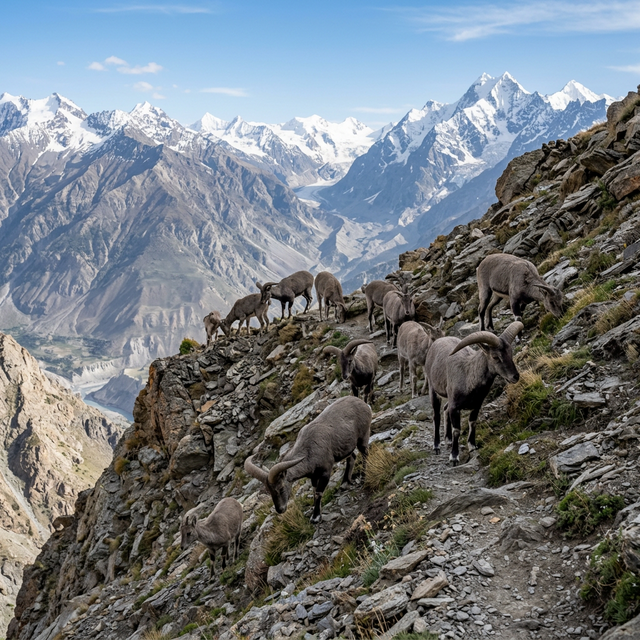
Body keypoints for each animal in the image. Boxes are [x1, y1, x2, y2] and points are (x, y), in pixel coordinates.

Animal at [424, 321, 523, 466]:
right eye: (495, 357)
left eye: (510, 352)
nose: (515, 376)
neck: (469, 374)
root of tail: (437, 342)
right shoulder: (455, 406)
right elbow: (457, 430)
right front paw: (454, 457)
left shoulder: (476, 404)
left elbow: (472, 422)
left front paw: (472, 446)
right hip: (433, 387)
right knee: (436, 415)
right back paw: (436, 446)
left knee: (445, 409)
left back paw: (448, 440)